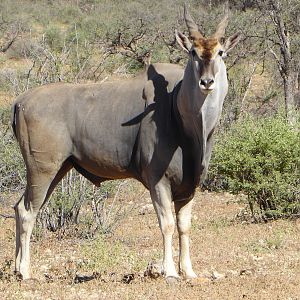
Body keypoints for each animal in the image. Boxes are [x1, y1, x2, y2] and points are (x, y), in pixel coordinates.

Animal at [11, 5, 240, 282]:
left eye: (221, 52)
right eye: (193, 52)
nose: (207, 82)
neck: (178, 109)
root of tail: (20, 102)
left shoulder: (190, 186)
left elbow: (184, 226)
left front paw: (189, 271)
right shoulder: (158, 181)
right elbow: (167, 224)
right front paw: (170, 272)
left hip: (59, 169)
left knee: (19, 207)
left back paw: (16, 268)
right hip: (42, 169)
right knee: (27, 211)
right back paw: (25, 272)